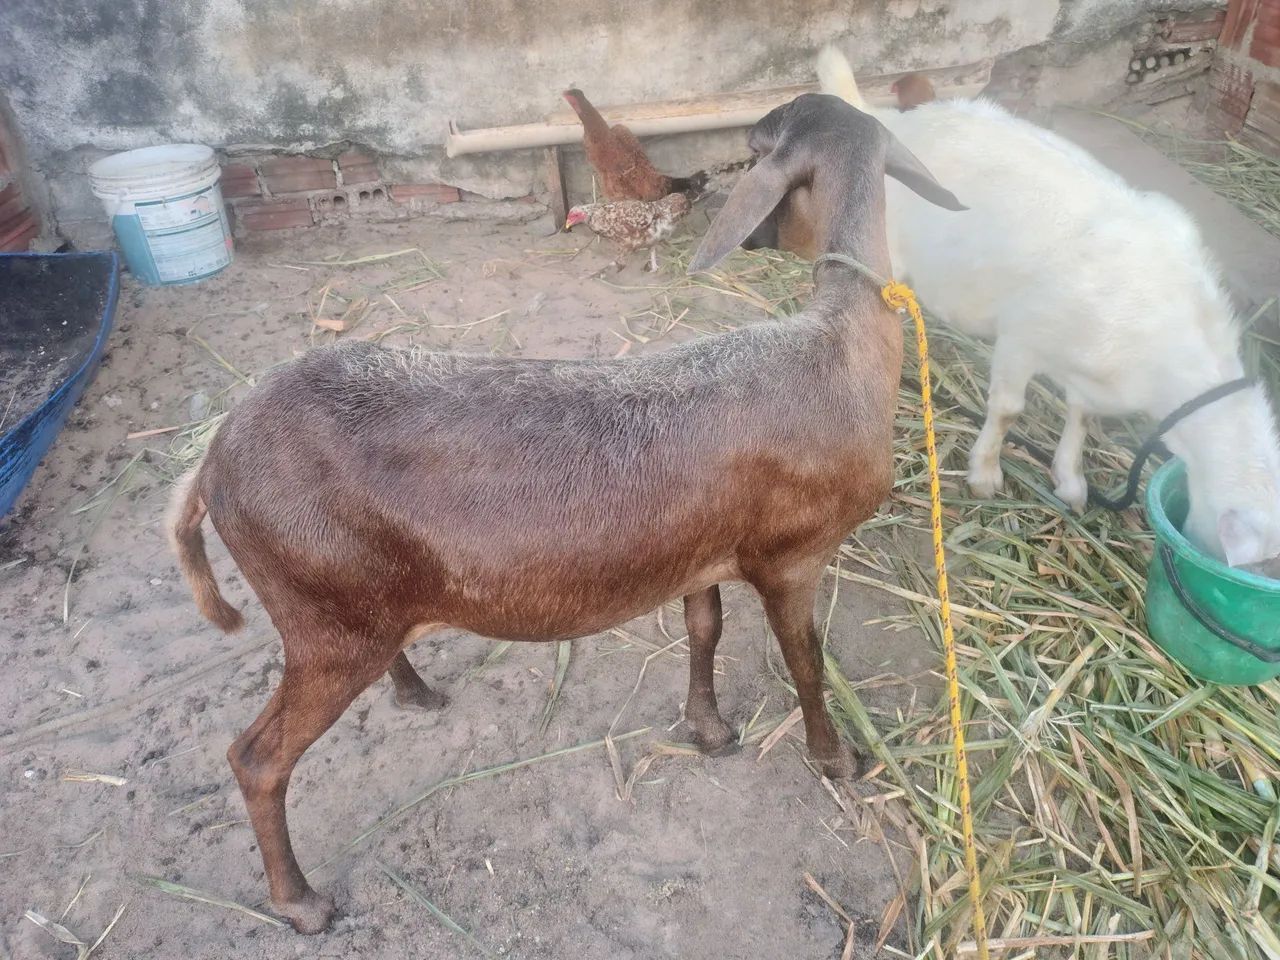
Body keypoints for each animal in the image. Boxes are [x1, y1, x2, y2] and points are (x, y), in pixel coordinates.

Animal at [167, 93, 962, 935]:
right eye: (754, 150)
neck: (842, 343)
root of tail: (209, 465)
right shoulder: (791, 557)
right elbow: (807, 661)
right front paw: (838, 758)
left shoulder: (701, 553)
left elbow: (704, 629)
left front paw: (710, 729)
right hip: (323, 621)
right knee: (257, 759)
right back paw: (301, 902)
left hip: (349, 606)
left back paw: (416, 693)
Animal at [759, 46, 1280, 567]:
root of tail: (887, 122)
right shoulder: (1022, 335)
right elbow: (1009, 409)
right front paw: (985, 474)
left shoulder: (1087, 367)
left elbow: (1082, 416)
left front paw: (1071, 481)